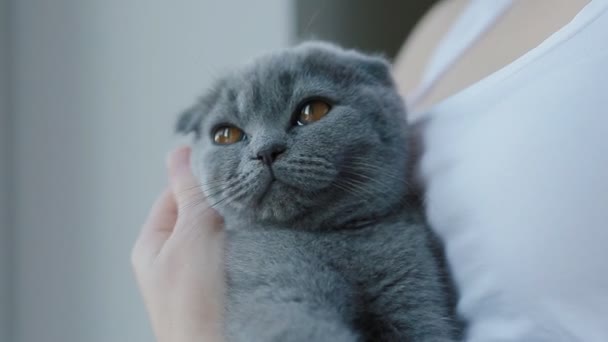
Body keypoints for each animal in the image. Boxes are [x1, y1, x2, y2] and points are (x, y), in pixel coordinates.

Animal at [178, 42, 458, 342]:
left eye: (312, 111)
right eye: (225, 135)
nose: (266, 151)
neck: (333, 239)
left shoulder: (413, 286)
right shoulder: (272, 284)